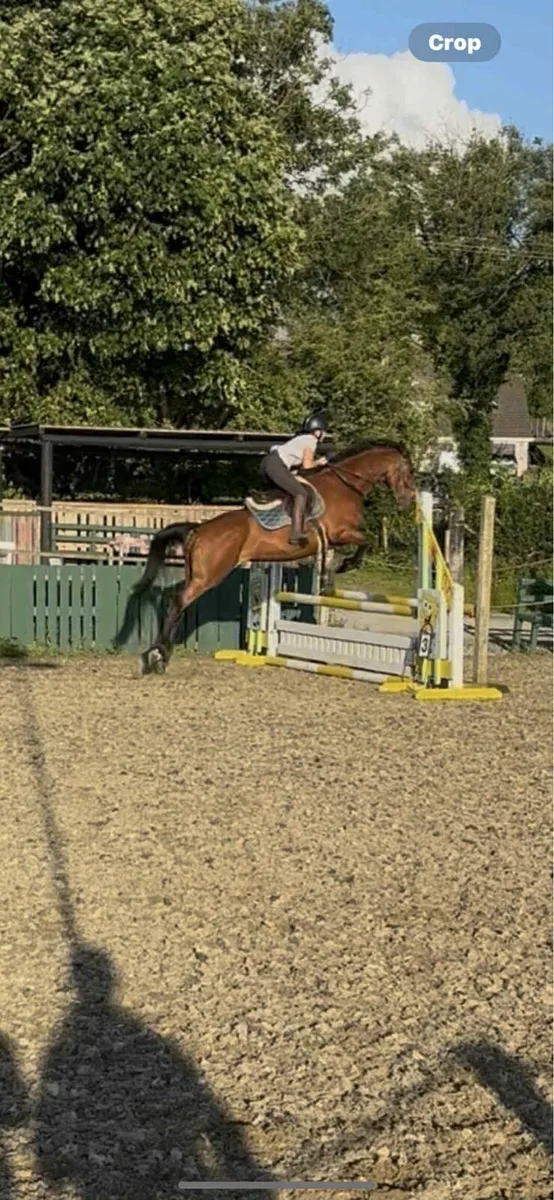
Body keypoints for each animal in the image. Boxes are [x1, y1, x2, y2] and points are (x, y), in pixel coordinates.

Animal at [135, 440, 416, 674]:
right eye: (409, 472)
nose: (408, 501)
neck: (345, 485)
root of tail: (198, 530)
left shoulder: (334, 538)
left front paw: (330, 577)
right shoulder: (340, 533)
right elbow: (364, 542)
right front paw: (344, 566)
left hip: (197, 574)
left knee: (176, 603)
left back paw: (159, 655)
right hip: (208, 577)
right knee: (178, 602)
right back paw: (157, 657)